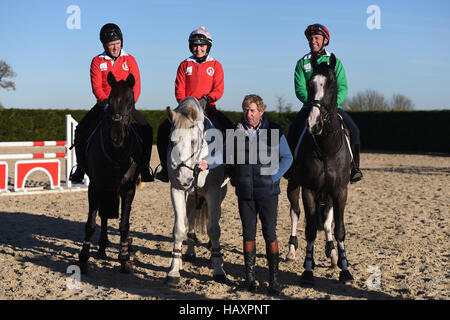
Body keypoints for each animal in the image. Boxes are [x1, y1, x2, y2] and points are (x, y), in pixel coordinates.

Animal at [78, 73, 143, 276]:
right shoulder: (95, 186)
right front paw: (83, 258)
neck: (117, 152)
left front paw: (124, 259)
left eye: (130, 102)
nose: (116, 137)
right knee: (104, 216)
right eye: (110, 101)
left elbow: (124, 225)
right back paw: (101, 248)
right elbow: (91, 224)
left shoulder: (128, 189)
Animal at [288, 54, 356, 284]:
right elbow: (309, 230)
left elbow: (339, 229)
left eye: (332, 83)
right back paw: (291, 251)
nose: (314, 124)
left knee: (326, 220)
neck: (326, 147)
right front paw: (308, 270)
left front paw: (345, 269)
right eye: (310, 84)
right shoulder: (308, 189)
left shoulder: (340, 191)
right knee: (295, 213)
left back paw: (333, 254)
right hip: (293, 185)